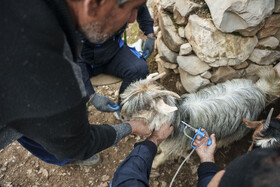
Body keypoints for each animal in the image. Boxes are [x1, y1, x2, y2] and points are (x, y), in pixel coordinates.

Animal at [120, 67, 280, 168]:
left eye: (144, 108)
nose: (122, 116)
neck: (178, 118)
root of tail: (259, 89)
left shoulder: (173, 147)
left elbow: (164, 156)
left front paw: (154, 164)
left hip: (239, 129)